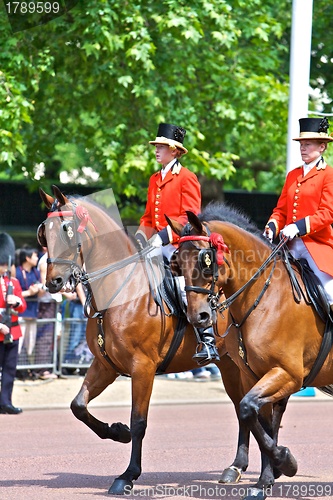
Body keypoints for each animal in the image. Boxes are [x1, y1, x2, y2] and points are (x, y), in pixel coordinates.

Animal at [38, 187, 282, 496]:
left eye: (67, 230)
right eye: (44, 234)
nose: (54, 282)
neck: (122, 292)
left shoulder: (142, 367)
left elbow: (139, 421)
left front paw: (128, 474)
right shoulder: (105, 366)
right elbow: (78, 405)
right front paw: (117, 432)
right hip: (231, 365)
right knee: (244, 409)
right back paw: (238, 466)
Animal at [169, 202, 332, 500]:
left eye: (205, 260)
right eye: (177, 263)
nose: (198, 317)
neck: (265, 297)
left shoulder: (288, 374)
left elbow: (249, 411)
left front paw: (285, 463)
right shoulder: (253, 376)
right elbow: (254, 417)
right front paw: (267, 478)